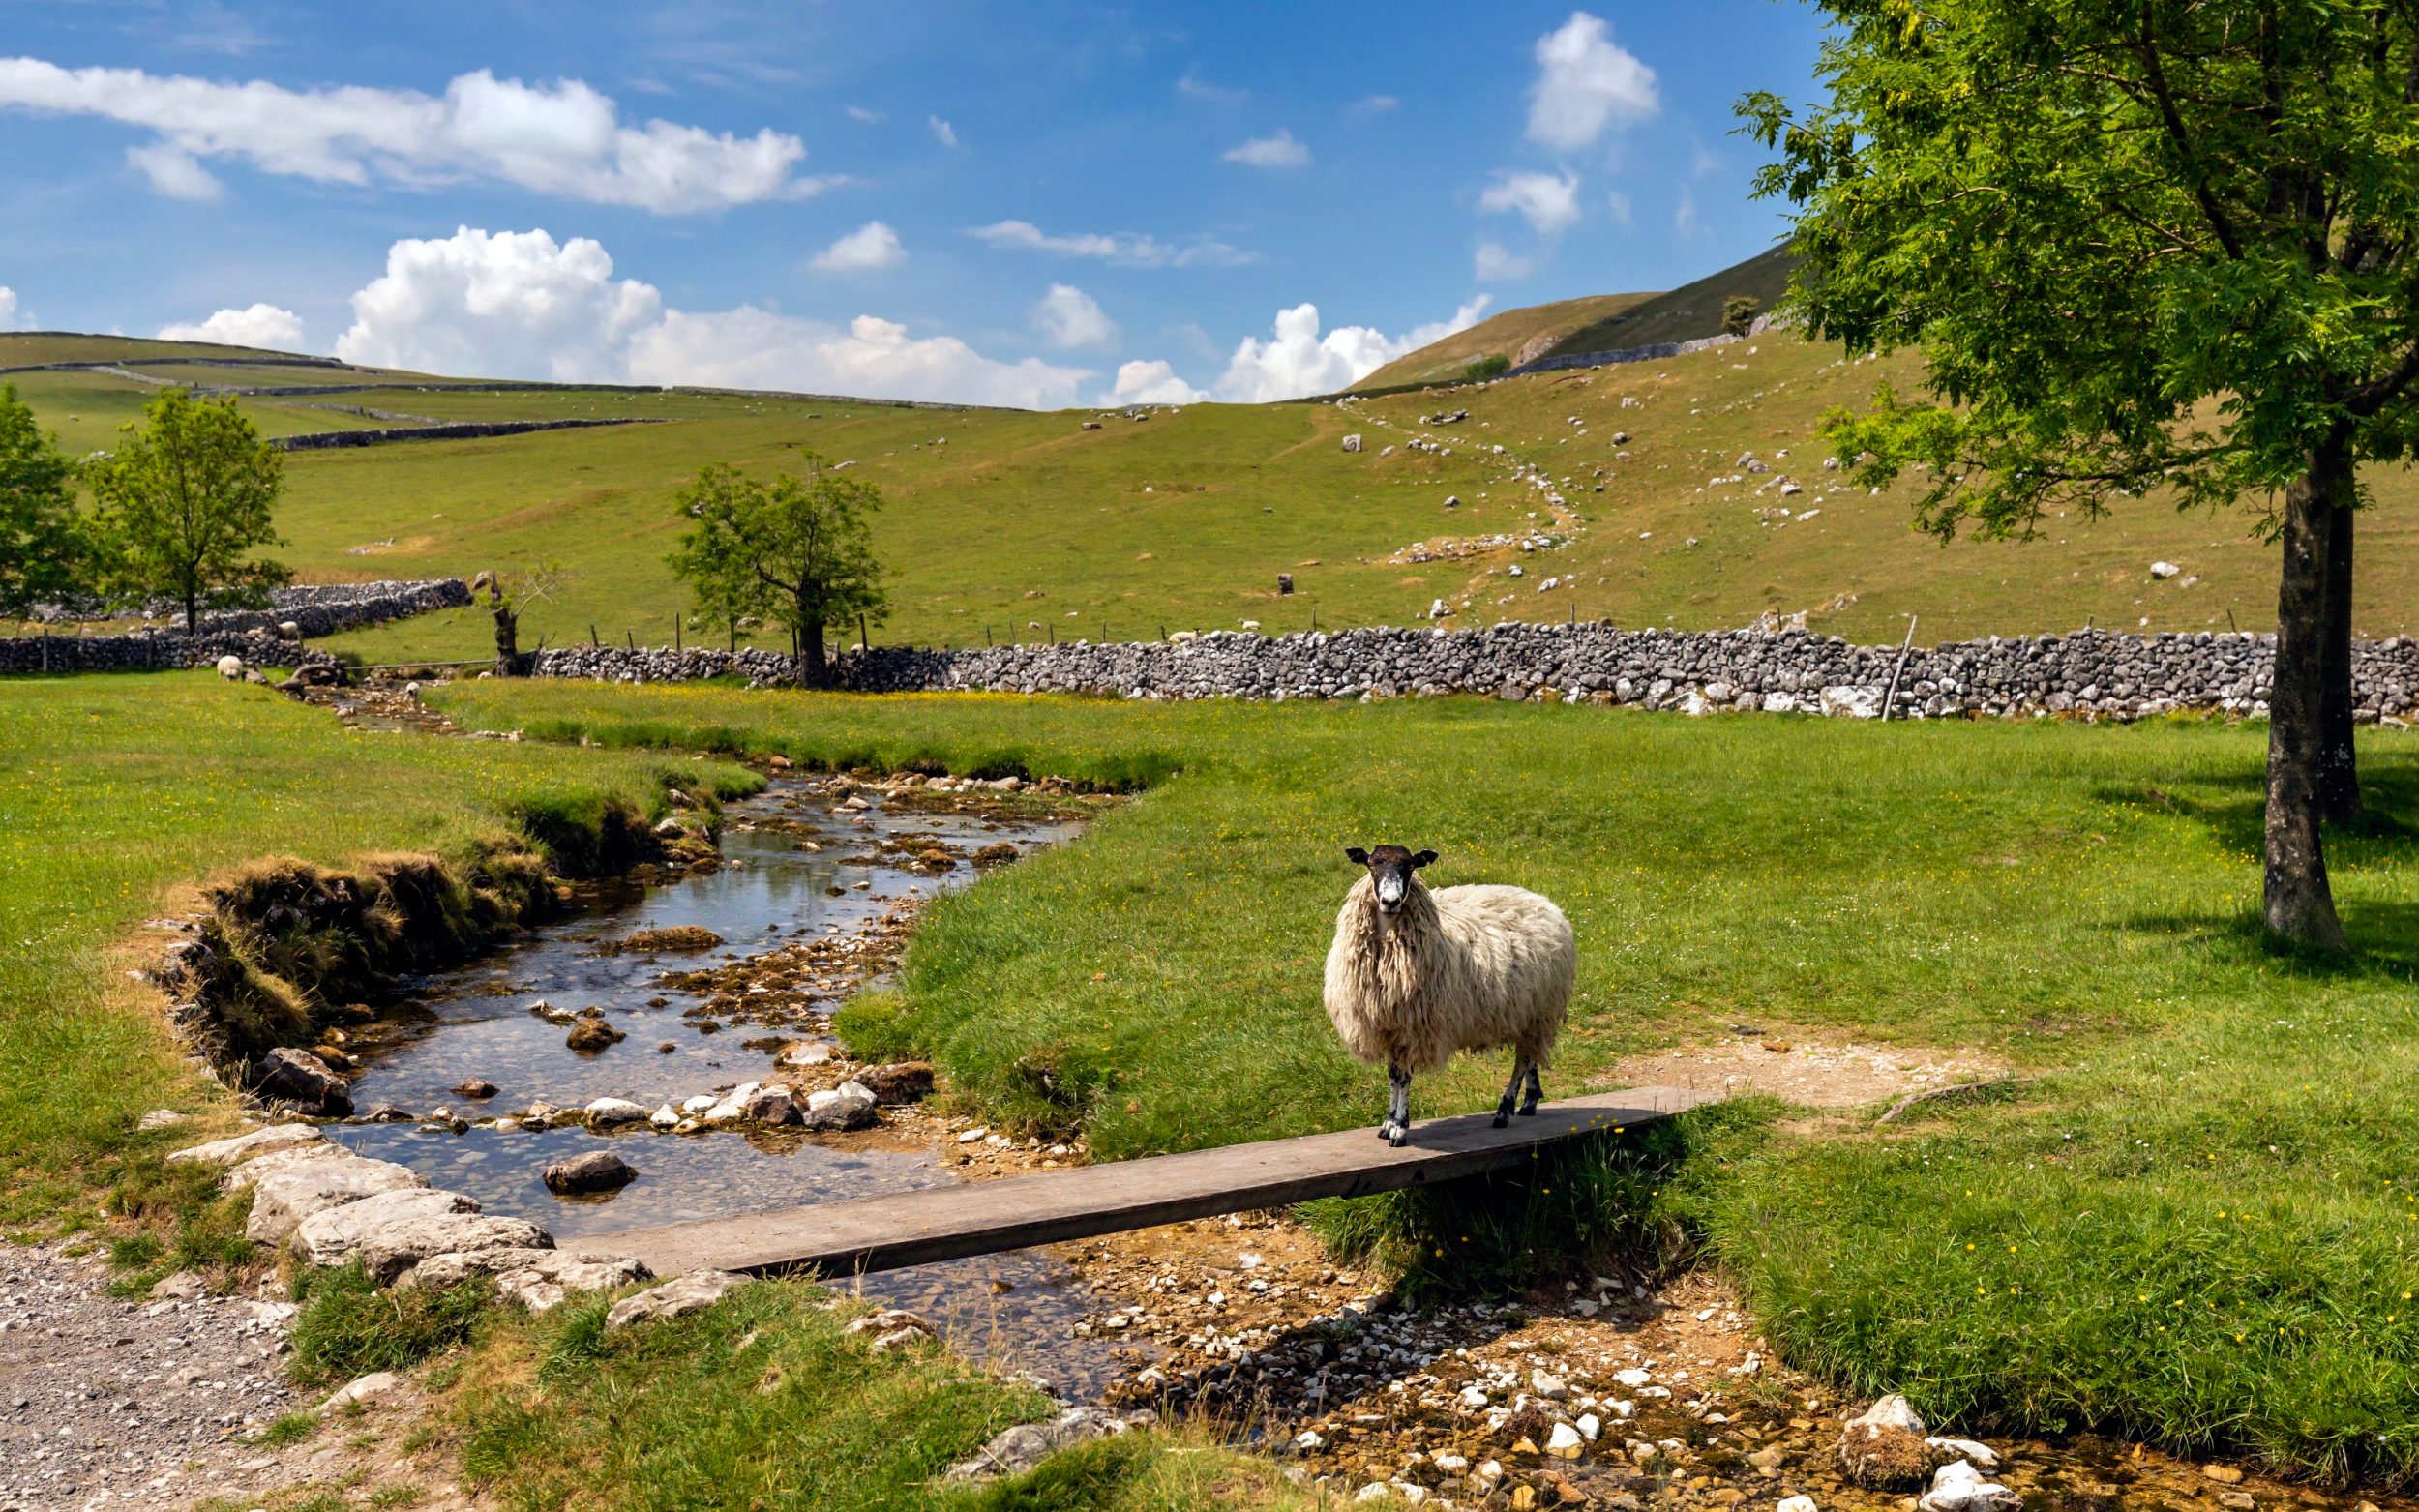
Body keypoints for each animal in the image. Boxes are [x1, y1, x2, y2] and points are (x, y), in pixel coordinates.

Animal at [1323, 843, 1575, 1147]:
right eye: (1371, 864)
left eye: (1410, 866)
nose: (1390, 901)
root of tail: (1544, 902)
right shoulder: (1388, 1027)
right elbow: (1393, 1074)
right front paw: (1388, 1122)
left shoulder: (1413, 1028)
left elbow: (1404, 1076)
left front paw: (1400, 1127)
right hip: (1525, 1011)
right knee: (1530, 1054)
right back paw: (1530, 1100)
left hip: (1539, 1010)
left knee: (1522, 1060)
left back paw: (1504, 1109)